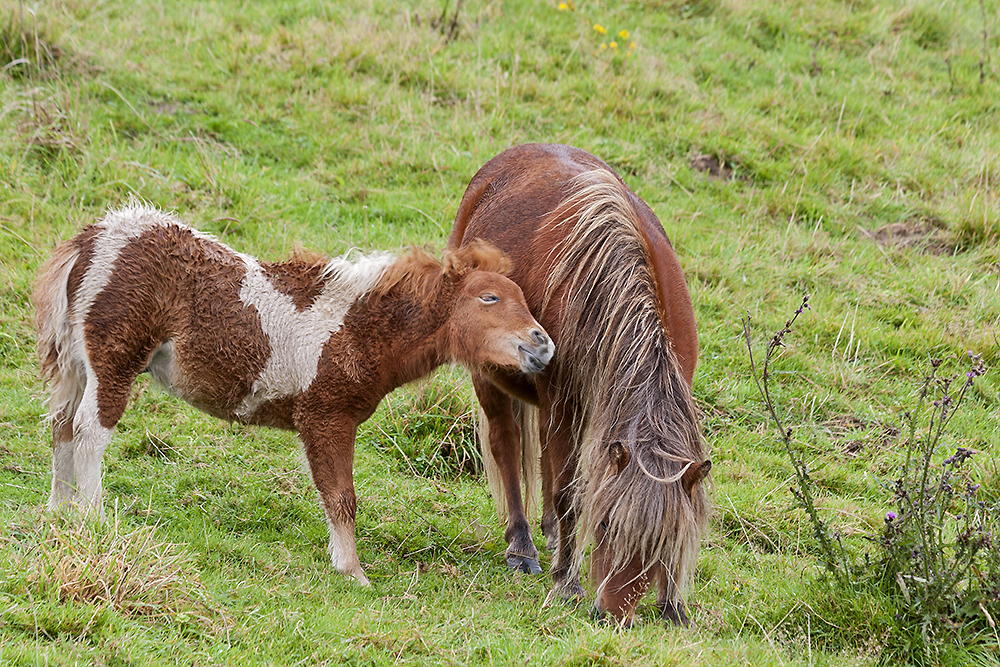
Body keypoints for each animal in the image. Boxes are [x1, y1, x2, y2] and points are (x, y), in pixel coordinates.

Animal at [33, 204, 556, 584]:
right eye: (489, 298)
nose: (542, 345)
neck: (357, 327)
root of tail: (93, 240)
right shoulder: (325, 417)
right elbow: (341, 496)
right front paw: (352, 571)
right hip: (115, 360)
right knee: (89, 432)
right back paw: (94, 520)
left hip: (77, 364)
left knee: (61, 428)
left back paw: (59, 515)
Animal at [446, 144, 712, 628]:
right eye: (606, 526)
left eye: (662, 542)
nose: (611, 614)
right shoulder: (562, 401)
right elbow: (571, 494)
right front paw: (566, 583)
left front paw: (673, 606)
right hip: (495, 382)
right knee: (507, 446)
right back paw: (523, 546)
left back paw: (550, 536)